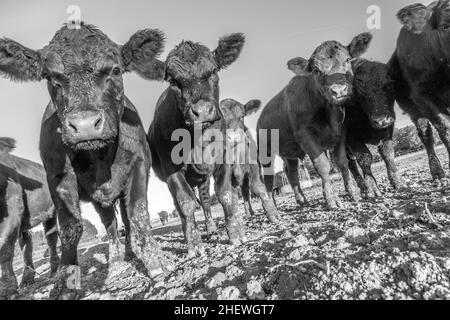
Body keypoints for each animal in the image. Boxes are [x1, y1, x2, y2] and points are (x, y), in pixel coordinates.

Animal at [0, 138, 59, 300]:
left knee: (51, 237)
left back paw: (54, 270)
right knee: (26, 244)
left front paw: (8, 291)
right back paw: (27, 280)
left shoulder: (13, 209)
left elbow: (4, 250)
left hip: (51, 210)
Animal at [149, 34, 274, 258]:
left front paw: (237, 233)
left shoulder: (230, 163)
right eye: (172, 80)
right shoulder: (171, 171)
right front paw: (194, 246)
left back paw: (213, 228)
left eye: (214, 70)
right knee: (184, 206)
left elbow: (229, 194)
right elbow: (186, 204)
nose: (201, 111)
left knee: (207, 199)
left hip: (204, 178)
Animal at [256, 31, 372, 208]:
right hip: (266, 152)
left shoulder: (341, 132)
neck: (328, 112)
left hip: (289, 152)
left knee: (291, 173)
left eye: (347, 60)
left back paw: (302, 200)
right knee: (268, 177)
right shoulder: (304, 135)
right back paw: (272, 205)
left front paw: (353, 192)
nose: (339, 90)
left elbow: (341, 162)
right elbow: (323, 165)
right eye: (316, 70)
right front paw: (331, 199)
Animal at [388, 1, 450, 182]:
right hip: (413, 110)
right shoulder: (422, 96)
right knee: (425, 134)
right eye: (445, 26)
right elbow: (445, 128)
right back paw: (437, 172)